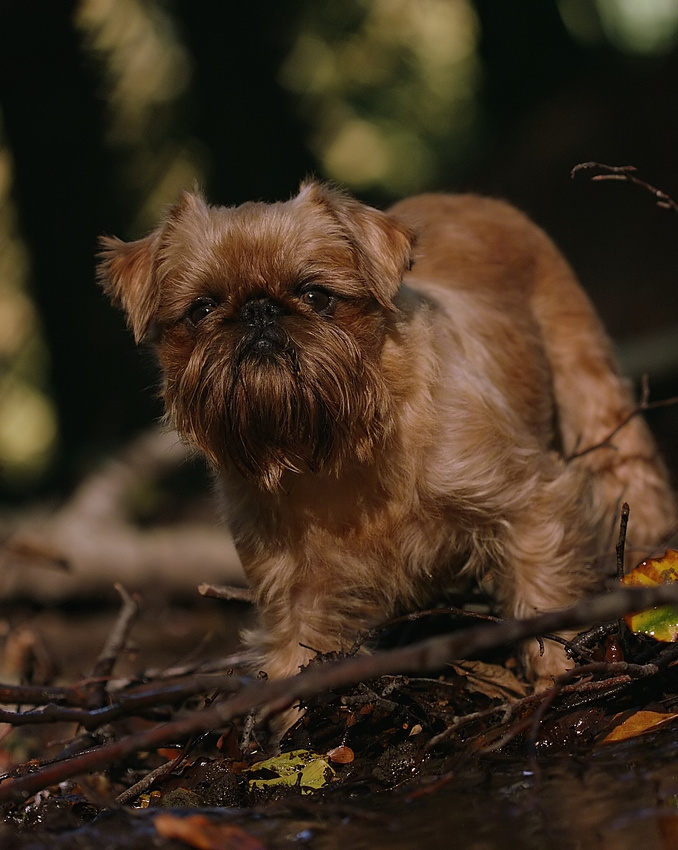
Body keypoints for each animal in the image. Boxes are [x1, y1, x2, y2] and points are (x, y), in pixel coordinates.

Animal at [98, 181, 676, 688]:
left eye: (316, 295)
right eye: (201, 309)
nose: (259, 311)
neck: (336, 444)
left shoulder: (530, 504)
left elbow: (543, 598)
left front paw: (557, 670)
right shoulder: (293, 591)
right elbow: (293, 662)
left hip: (589, 380)